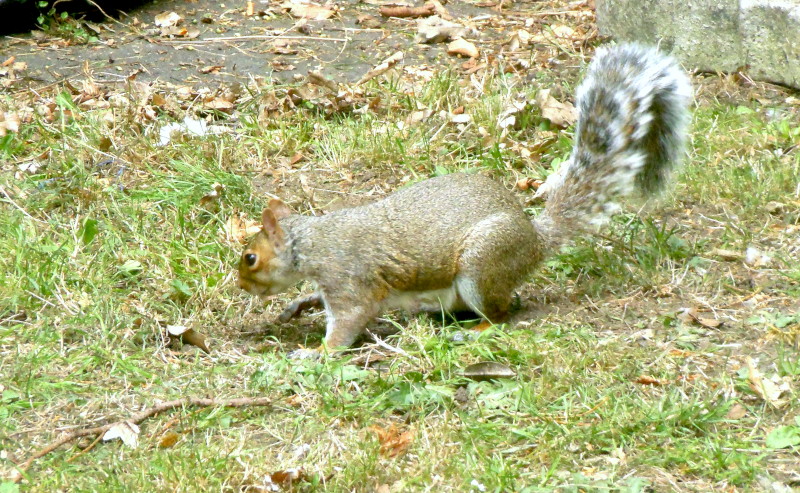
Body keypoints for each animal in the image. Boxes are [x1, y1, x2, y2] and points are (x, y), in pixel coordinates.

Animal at [238, 43, 693, 349]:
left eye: (250, 258)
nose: (242, 287)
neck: (313, 242)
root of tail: (534, 239)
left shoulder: (351, 279)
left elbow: (350, 321)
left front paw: (316, 354)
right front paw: (299, 305)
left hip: (483, 264)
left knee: (502, 313)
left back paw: (473, 331)